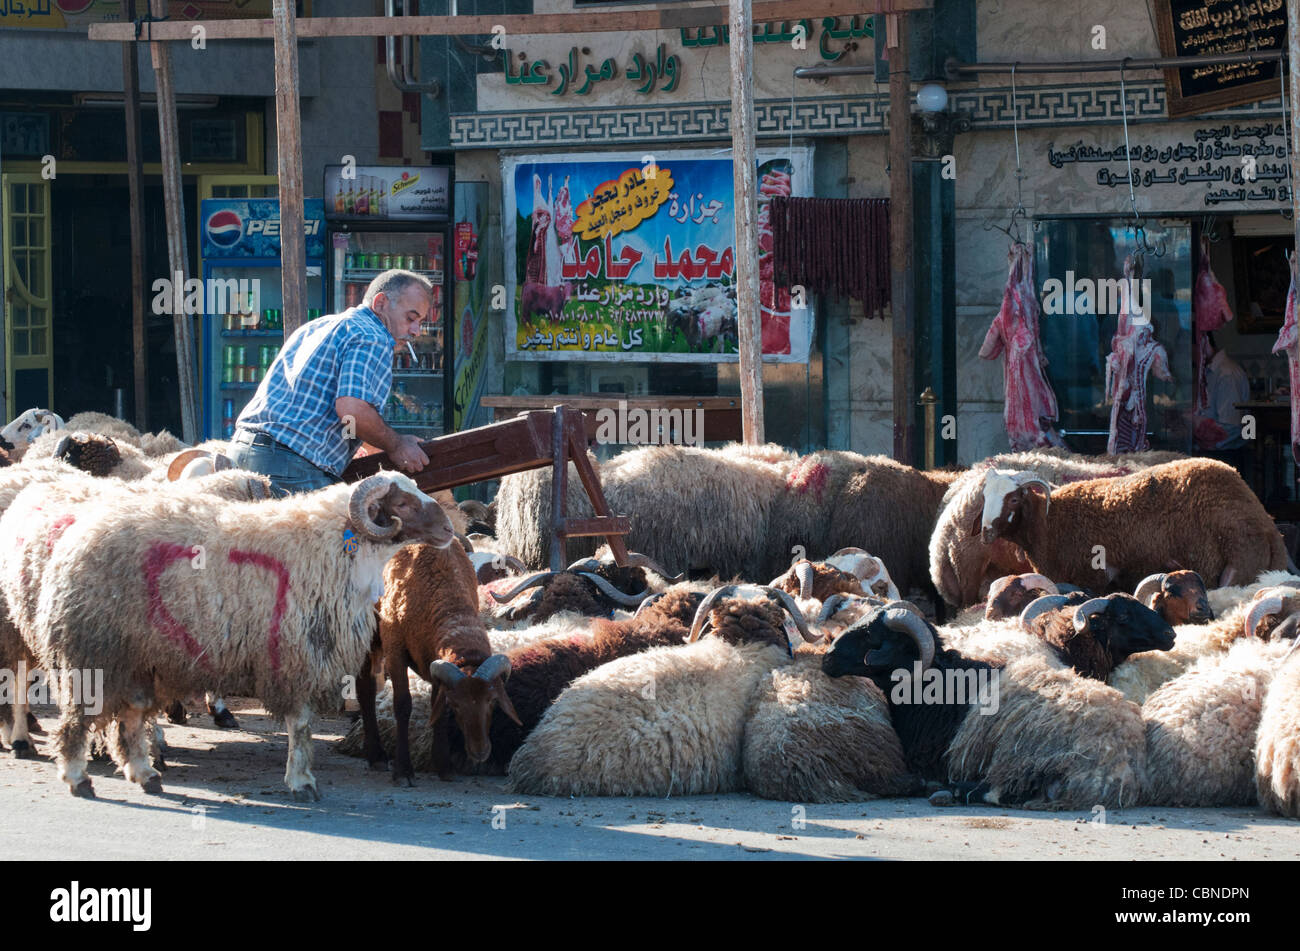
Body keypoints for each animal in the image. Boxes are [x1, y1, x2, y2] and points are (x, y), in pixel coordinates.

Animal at [3, 472, 452, 800]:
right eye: (403, 503)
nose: (449, 528)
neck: (336, 546)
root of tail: (75, 536)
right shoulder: (293, 655)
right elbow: (301, 725)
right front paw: (302, 782)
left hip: (136, 657)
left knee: (129, 716)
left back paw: (146, 774)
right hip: (93, 651)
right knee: (75, 717)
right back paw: (76, 777)